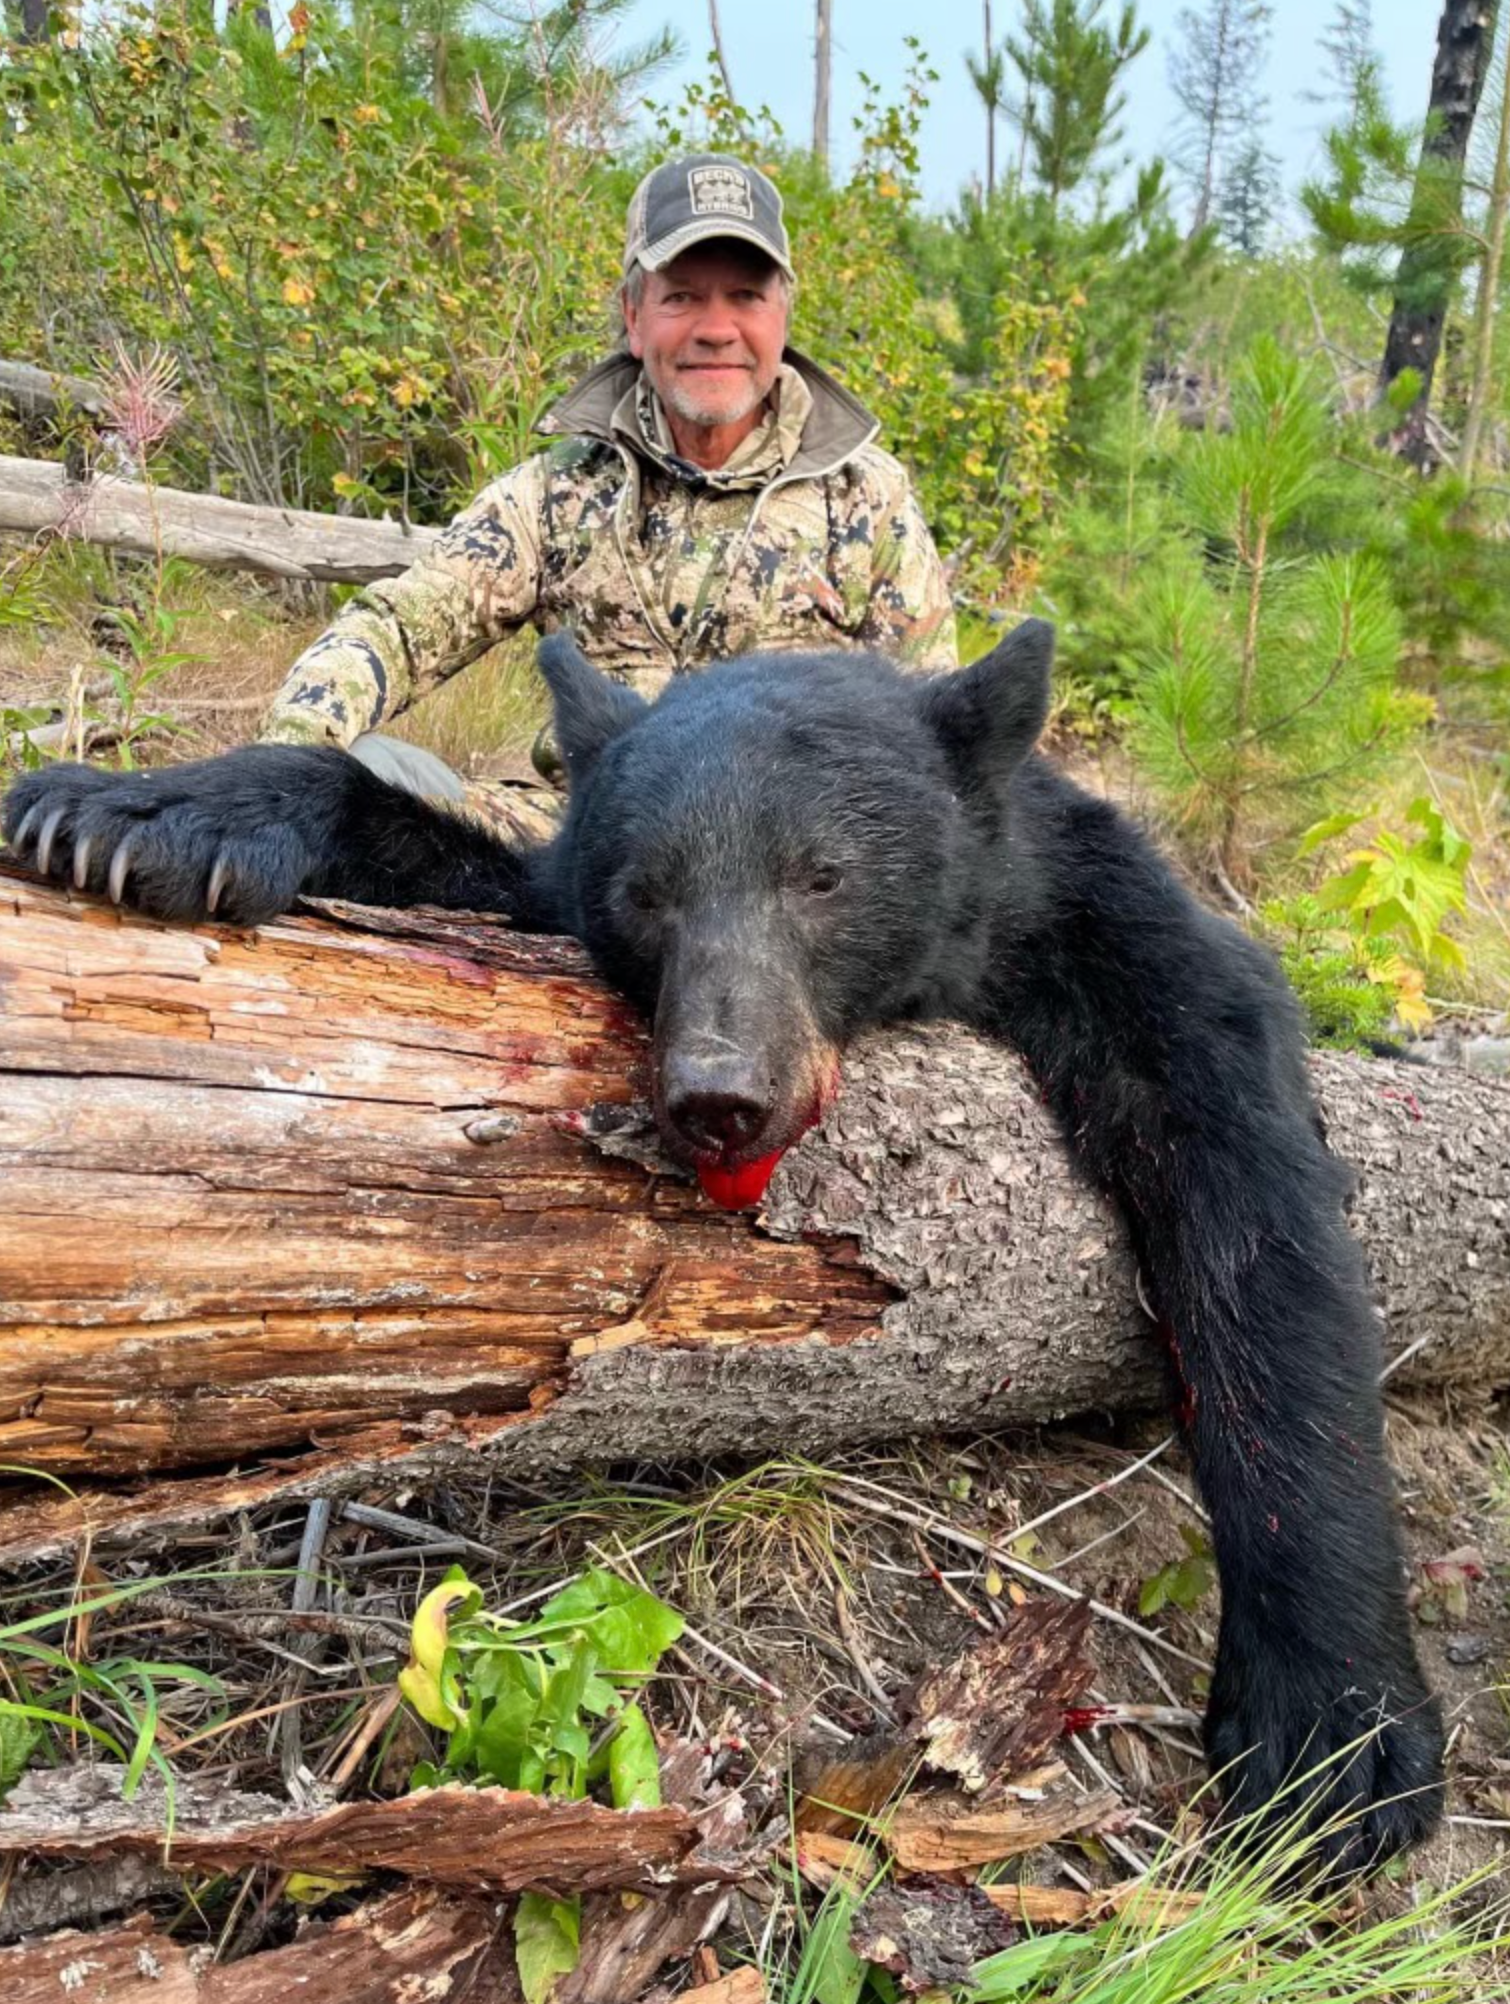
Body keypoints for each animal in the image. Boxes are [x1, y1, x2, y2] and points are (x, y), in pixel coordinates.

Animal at [2, 619, 1444, 1871]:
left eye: (823, 878)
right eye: (648, 894)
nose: (717, 1092)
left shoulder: (1119, 938)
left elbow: (1258, 1237)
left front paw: (1334, 1730)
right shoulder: (549, 897)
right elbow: (453, 862)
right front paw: (124, 814)